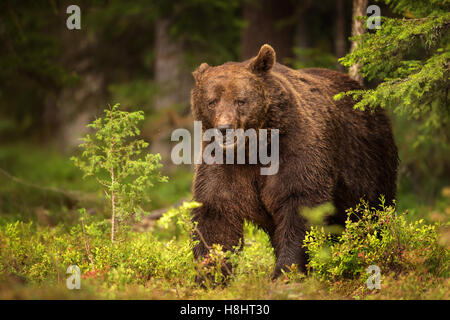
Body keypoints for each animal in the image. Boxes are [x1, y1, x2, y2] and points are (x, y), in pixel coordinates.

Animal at [190, 43, 398, 278]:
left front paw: (285, 270)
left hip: (366, 160)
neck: (253, 148)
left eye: (240, 100)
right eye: (212, 101)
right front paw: (211, 274)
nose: (225, 129)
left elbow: (299, 200)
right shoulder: (223, 163)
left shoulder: (294, 145)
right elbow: (216, 212)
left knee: (371, 210)